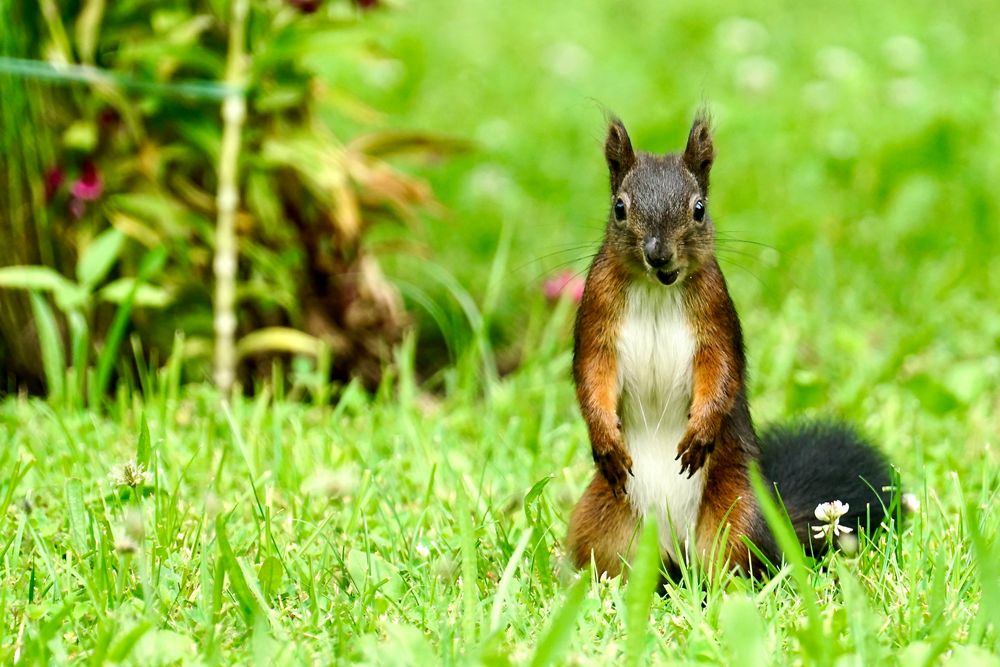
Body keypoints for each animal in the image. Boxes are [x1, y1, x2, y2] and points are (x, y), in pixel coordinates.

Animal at [568, 116, 896, 580]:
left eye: (699, 208)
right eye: (619, 207)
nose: (658, 255)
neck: (656, 289)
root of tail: (675, 551)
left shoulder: (716, 315)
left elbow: (720, 371)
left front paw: (700, 433)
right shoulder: (596, 317)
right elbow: (592, 374)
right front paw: (605, 439)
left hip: (737, 515)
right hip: (600, 522)